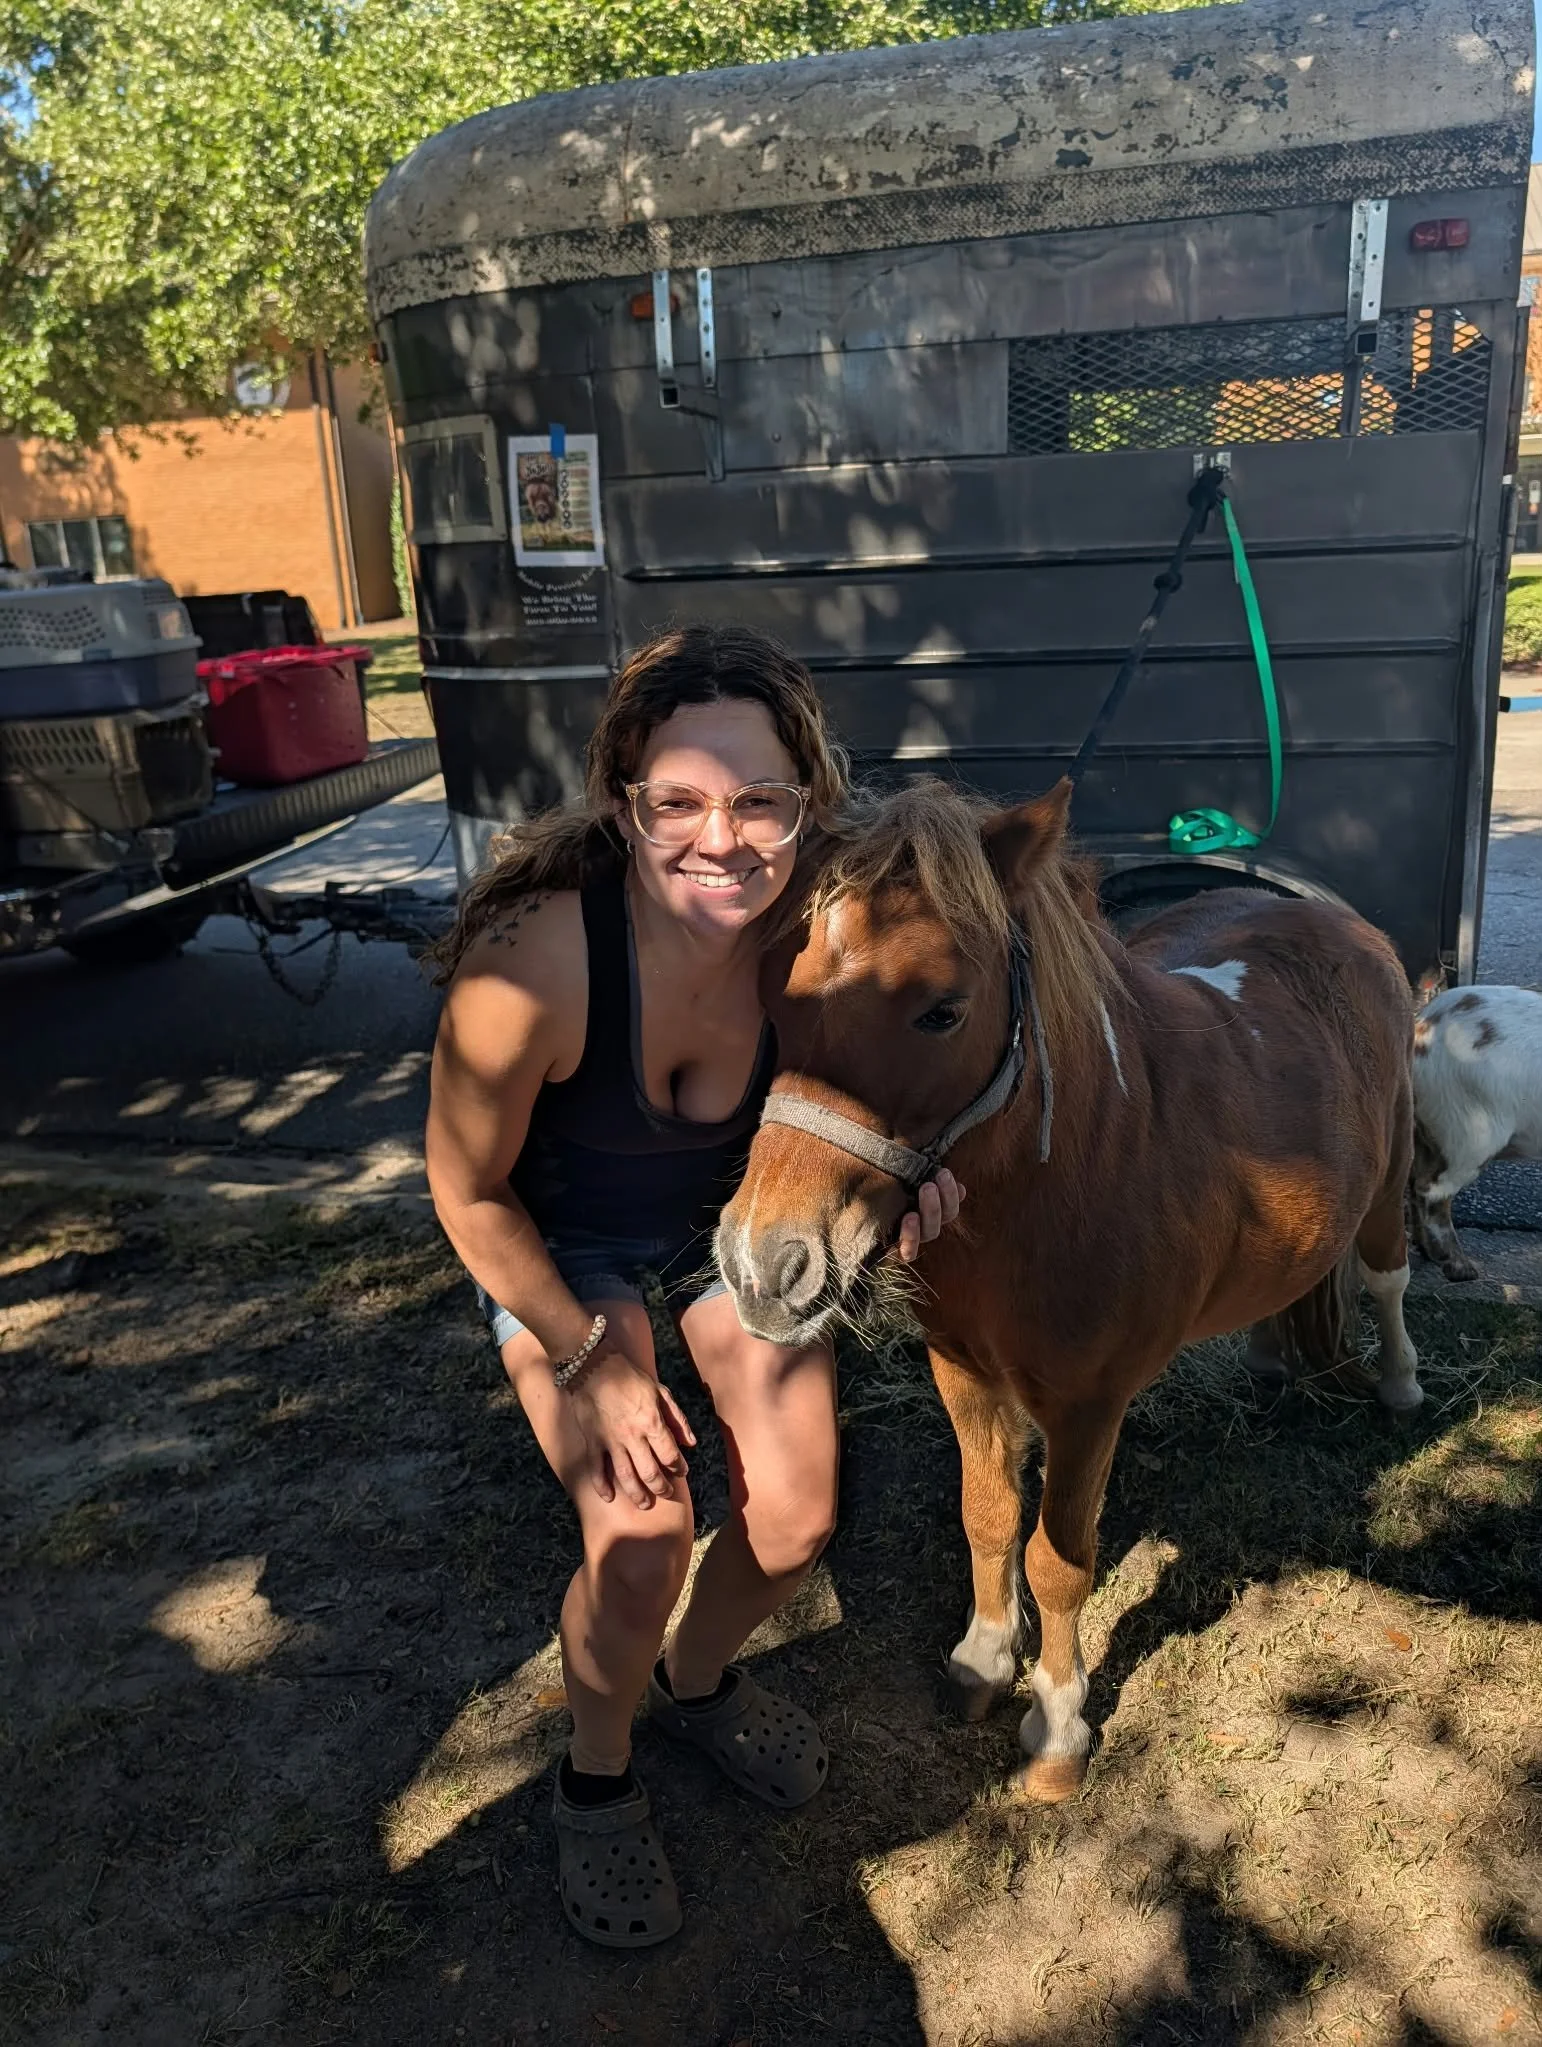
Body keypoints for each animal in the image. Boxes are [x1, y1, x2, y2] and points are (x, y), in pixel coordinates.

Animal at [715, 777, 1423, 1802]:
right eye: (775, 991)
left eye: (941, 1010)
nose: (762, 1265)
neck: (1071, 1174)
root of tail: (1339, 922)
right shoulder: (962, 1370)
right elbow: (986, 1515)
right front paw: (982, 1659)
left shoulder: (1091, 1406)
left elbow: (1059, 1562)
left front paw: (1056, 1722)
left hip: (1393, 1169)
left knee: (1386, 1274)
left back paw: (1402, 1382)